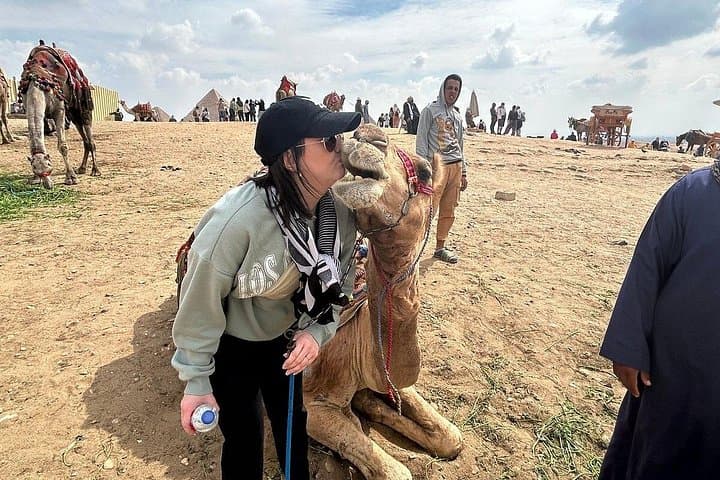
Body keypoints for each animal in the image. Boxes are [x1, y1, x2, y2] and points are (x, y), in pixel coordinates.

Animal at [20, 45, 98, 188]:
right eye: (35, 168)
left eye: (49, 165)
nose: (48, 185)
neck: (36, 82)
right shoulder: (28, 106)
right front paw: (35, 179)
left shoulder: (59, 109)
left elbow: (63, 146)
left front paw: (71, 178)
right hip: (73, 113)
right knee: (83, 135)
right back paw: (81, 168)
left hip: (84, 102)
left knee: (89, 134)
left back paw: (95, 170)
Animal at [305, 124, 462, 479]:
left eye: (425, 171)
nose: (365, 135)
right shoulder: (311, 404)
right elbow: (396, 472)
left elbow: (452, 438)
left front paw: (372, 405)